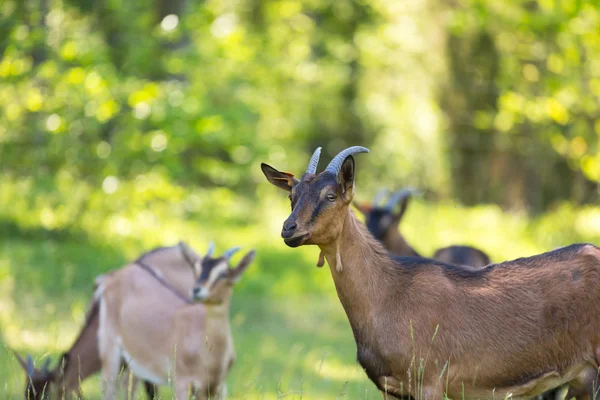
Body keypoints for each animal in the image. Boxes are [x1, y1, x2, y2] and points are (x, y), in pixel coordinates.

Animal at [99, 242, 255, 398]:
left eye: (223, 273)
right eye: (196, 269)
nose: (196, 290)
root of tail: (112, 278)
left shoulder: (218, 389)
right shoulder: (182, 383)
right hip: (111, 352)